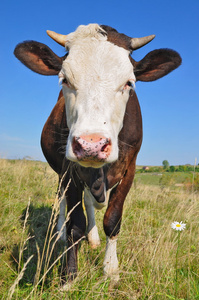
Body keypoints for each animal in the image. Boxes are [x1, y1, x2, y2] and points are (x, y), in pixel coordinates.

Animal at [14, 23, 182, 286]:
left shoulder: (130, 168)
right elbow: (75, 223)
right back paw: (60, 232)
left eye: (129, 83)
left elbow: (112, 220)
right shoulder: (69, 169)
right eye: (64, 79)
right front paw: (69, 277)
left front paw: (111, 270)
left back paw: (93, 238)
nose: (91, 144)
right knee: (63, 198)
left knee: (90, 201)